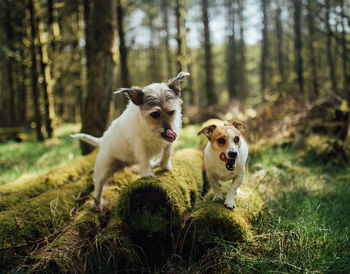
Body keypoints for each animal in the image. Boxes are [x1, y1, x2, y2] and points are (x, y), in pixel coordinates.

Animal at [71, 71, 190, 209]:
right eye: (155, 114)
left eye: (171, 112)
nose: (168, 132)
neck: (149, 129)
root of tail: (102, 140)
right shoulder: (139, 145)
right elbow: (144, 159)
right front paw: (148, 174)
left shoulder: (168, 144)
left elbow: (166, 154)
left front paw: (165, 166)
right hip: (103, 169)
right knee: (98, 187)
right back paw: (96, 205)